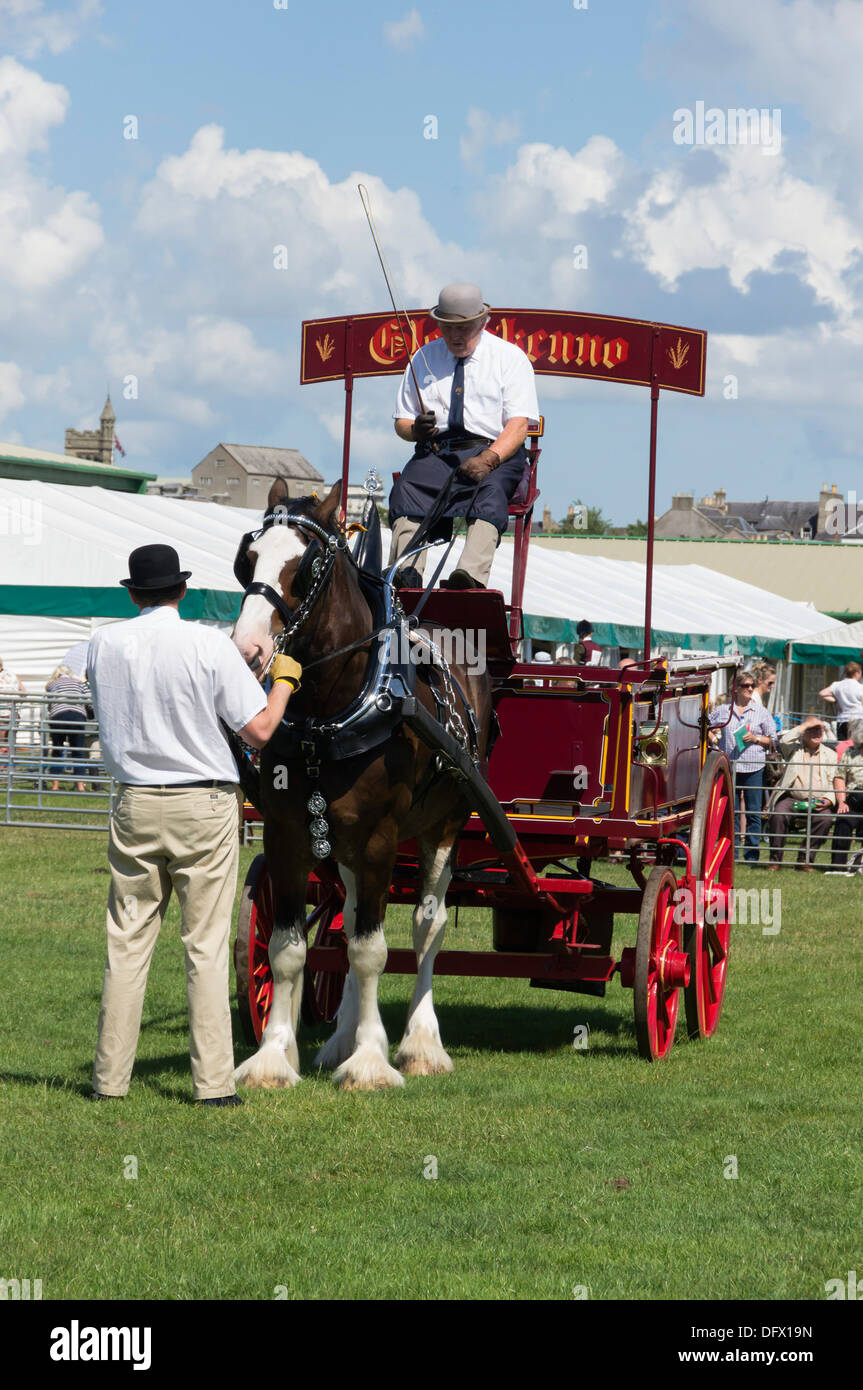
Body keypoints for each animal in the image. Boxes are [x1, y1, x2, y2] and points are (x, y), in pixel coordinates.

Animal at [230, 478, 491, 1084]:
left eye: (304, 568)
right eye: (247, 558)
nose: (248, 650)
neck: (330, 711)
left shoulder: (379, 839)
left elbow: (373, 950)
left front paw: (371, 1061)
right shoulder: (288, 833)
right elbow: (288, 948)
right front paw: (274, 1057)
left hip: (444, 824)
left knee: (425, 926)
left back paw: (421, 1043)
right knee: (348, 920)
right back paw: (339, 1038)